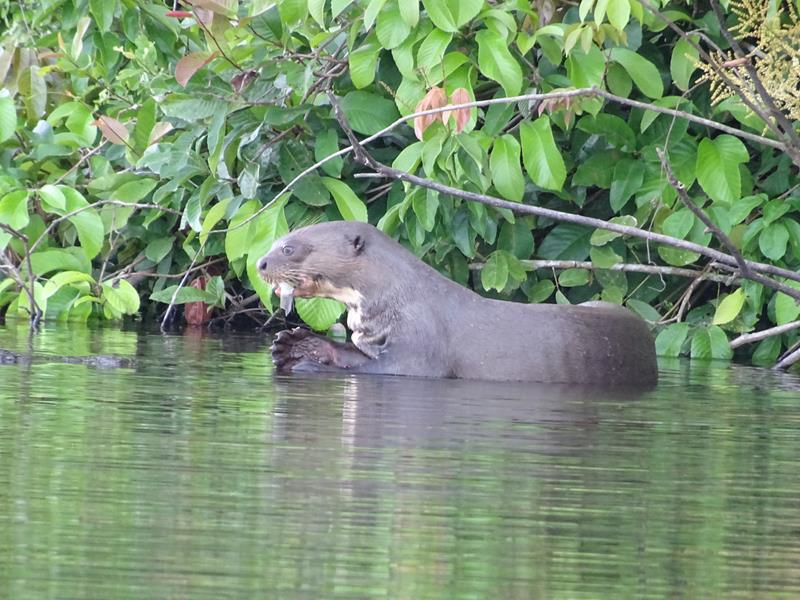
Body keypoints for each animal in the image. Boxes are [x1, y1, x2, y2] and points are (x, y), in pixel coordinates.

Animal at [257, 221, 658, 385]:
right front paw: (296, 346)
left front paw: (308, 362)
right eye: (276, 241)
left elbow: (383, 370)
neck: (400, 297)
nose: (260, 263)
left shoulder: (420, 348)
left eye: (289, 248)